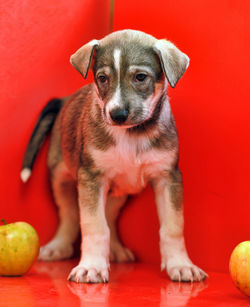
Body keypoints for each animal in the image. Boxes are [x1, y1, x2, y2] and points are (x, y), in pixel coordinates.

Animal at [20, 29, 207, 284]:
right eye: (102, 78)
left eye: (140, 77)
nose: (117, 114)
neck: (132, 135)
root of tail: (65, 99)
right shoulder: (91, 177)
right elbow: (94, 225)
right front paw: (91, 266)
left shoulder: (168, 177)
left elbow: (173, 226)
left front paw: (181, 264)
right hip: (61, 177)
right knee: (70, 215)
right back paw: (58, 246)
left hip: (119, 191)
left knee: (109, 215)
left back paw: (116, 249)